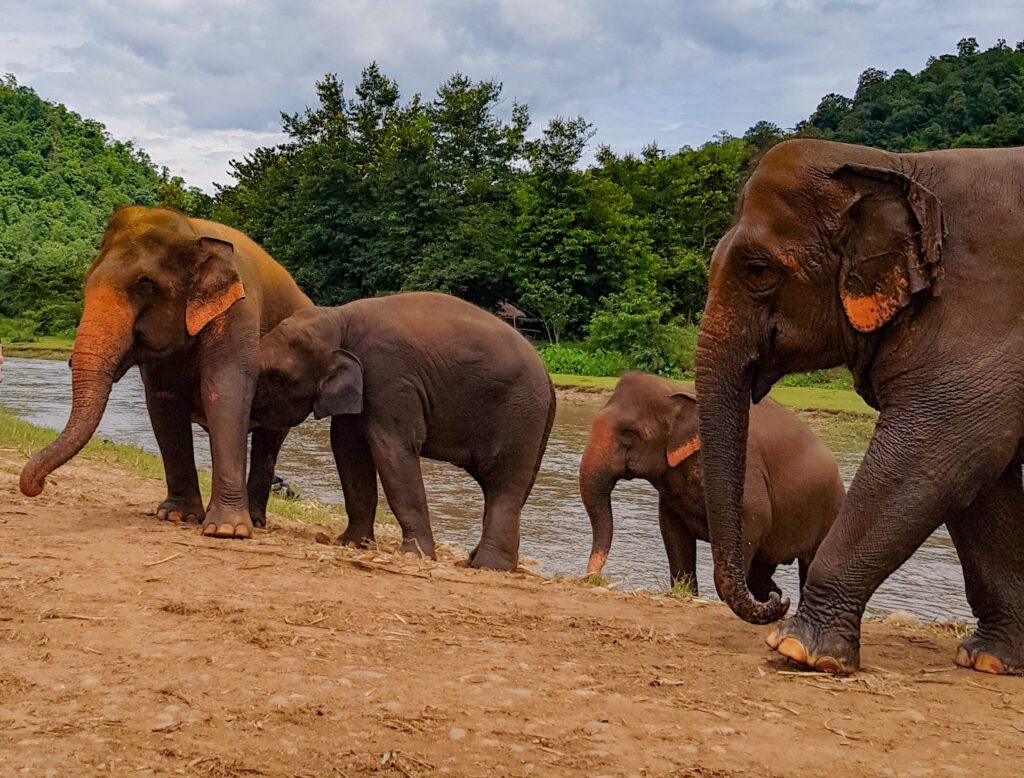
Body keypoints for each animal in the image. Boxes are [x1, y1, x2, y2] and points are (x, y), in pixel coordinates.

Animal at [20, 206, 312, 539]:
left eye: (145, 285)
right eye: (85, 280)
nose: (39, 485)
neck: (192, 232)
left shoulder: (239, 310)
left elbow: (225, 391)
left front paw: (227, 530)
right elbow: (164, 403)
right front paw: (177, 516)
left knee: (270, 439)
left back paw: (254, 520)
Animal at [249, 291, 555, 571]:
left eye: (277, 378)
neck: (339, 319)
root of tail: (549, 378)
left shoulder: (389, 377)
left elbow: (393, 450)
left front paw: (414, 556)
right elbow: (348, 450)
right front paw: (351, 544)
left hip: (518, 413)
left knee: (503, 483)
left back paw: (488, 567)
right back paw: (476, 560)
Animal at [580, 372, 843, 598]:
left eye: (628, 432)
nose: (591, 578)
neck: (676, 389)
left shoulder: (741, 466)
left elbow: (755, 518)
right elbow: (673, 535)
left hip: (830, 512)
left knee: (809, 566)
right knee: (761, 573)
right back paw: (774, 596)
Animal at [695, 138, 1024, 675]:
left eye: (758, 270)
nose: (774, 598)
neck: (898, 165)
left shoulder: (985, 311)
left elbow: (943, 449)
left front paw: (798, 650)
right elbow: (984, 479)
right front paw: (990, 660)